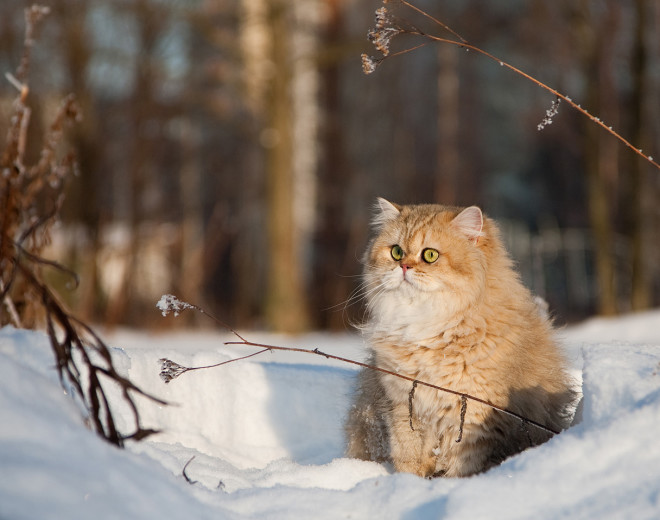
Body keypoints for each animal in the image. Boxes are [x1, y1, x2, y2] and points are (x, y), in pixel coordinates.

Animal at [346, 199, 576, 480]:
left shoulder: (473, 414)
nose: (404, 267)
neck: (428, 327)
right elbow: (409, 459)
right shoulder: (402, 407)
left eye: (430, 255)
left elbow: (462, 465)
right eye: (397, 252)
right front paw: (409, 484)